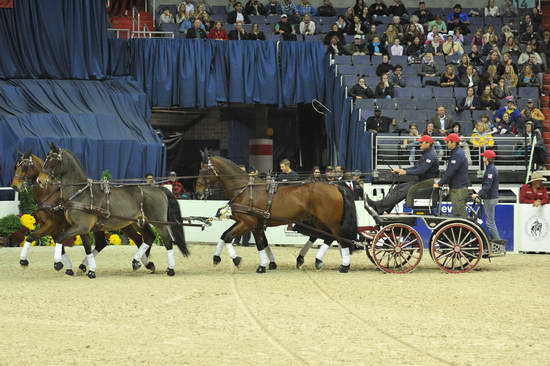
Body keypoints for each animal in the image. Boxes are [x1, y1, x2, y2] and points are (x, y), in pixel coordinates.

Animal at [10, 152, 156, 278]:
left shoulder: (54, 225)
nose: (15, 186)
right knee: (127, 240)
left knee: (142, 238)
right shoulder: (54, 227)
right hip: (122, 224)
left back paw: (143, 263)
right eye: (15, 166)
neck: (49, 195)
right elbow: (54, 243)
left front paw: (57, 264)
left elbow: (35, 237)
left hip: (126, 223)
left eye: (24, 167)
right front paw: (67, 267)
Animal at [35, 143, 190, 278]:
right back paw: (139, 262)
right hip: (138, 222)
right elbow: (86, 247)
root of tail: (158, 188)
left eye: (53, 160)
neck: (81, 193)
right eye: (46, 158)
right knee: (148, 237)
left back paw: (170, 269)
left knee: (167, 241)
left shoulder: (81, 226)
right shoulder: (81, 228)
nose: (40, 180)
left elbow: (60, 238)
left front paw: (58, 264)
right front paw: (89, 269)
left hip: (159, 222)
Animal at [196, 156, 360, 274]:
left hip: (331, 222)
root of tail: (335, 186)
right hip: (319, 221)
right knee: (325, 237)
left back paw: (344, 266)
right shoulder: (255, 225)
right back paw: (309, 260)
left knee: (340, 239)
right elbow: (255, 242)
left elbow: (230, 237)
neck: (245, 191)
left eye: (204, 171)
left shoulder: (248, 223)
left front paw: (239, 260)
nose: (198, 193)